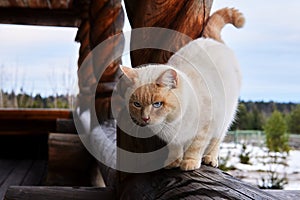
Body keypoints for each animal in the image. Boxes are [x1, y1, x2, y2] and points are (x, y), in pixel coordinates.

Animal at [119, 7, 244, 170]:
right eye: (137, 104)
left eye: (157, 104)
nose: (145, 118)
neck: (173, 122)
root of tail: (211, 40)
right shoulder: (172, 139)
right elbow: (175, 148)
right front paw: (174, 162)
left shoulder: (204, 128)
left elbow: (196, 147)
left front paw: (189, 163)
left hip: (224, 118)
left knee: (216, 141)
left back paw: (210, 159)